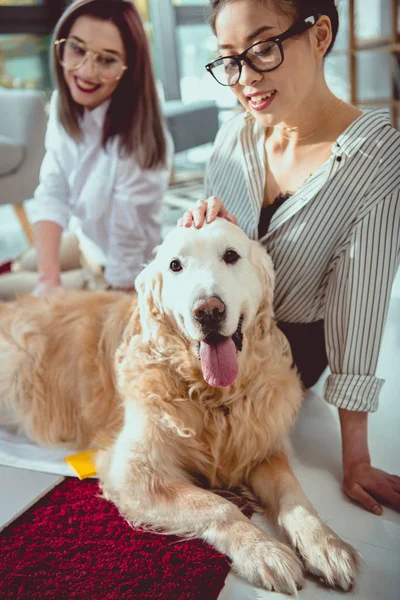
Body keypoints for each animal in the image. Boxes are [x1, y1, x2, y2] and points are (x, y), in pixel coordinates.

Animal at [0, 219, 356, 592]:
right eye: (175, 265)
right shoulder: (134, 472)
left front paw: (324, 543)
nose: (208, 311)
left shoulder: (262, 447)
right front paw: (263, 551)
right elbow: (216, 506)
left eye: (231, 255)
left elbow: (294, 495)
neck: (213, 396)